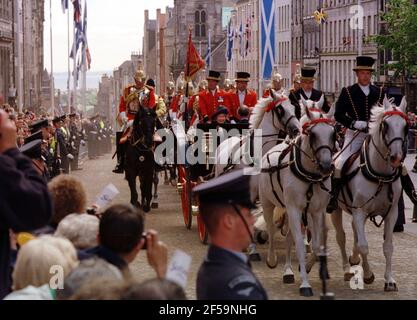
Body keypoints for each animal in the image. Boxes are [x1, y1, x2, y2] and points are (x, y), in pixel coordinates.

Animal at [260, 104, 334, 296]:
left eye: (333, 133)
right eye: (313, 134)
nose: (326, 166)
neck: (310, 177)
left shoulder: (316, 211)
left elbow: (316, 245)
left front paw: (306, 268)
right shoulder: (294, 208)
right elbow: (300, 245)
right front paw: (305, 284)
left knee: (289, 236)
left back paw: (288, 271)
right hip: (268, 203)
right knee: (271, 229)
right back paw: (272, 259)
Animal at [332, 96, 406, 292]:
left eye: (405, 125)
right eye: (385, 125)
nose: (396, 157)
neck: (380, 175)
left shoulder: (391, 213)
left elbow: (388, 246)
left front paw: (389, 280)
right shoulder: (359, 211)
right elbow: (364, 246)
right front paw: (368, 274)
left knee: (354, 233)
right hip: (335, 210)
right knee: (341, 236)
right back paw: (347, 268)